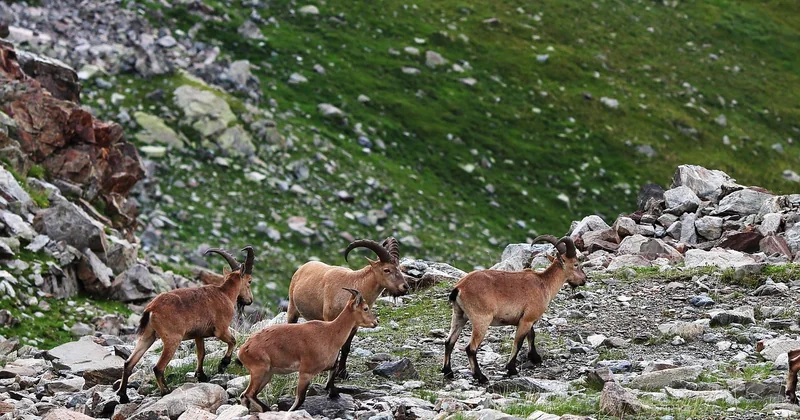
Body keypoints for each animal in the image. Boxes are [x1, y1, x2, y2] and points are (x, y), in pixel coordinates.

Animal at [116, 246, 255, 403]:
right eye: (250, 281)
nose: (250, 300)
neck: (224, 294)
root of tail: (151, 309)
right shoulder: (221, 329)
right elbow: (232, 341)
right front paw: (223, 364)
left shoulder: (198, 335)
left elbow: (201, 353)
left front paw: (201, 375)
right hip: (172, 338)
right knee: (158, 367)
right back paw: (165, 391)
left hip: (147, 336)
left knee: (129, 363)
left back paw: (123, 396)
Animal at [238, 288, 378, 412]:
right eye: (365, 308)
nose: (376, 321)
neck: (330, 334)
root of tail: (242, 350)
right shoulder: (306, 372)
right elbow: (300, 399)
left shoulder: (329, 366)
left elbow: (331, 379)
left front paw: (333, 394)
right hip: (259, 371)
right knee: (249, 394)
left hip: (267, 374)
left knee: (245, 395)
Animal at [286, 237, 408, 388]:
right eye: (387, 270)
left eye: (400, 268)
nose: (405, 287)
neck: (355, 285)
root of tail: (302, 267)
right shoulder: (330, 320)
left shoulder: (354, 326)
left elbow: (346, 348)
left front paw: (343, 373)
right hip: (292, 308)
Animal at [441, 235, 586, 383]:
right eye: (576, 264)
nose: (584, 280)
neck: (544, 283)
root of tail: (459, 288)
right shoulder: (527, 319)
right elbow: (518, 342)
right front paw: (511, 369)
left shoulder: (527, 319)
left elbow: (531, 335)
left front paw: (535, 358)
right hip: (481, 320)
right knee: (470, 348)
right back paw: (480, 377)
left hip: (459, 315)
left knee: (449, 341)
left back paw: (448, 372)